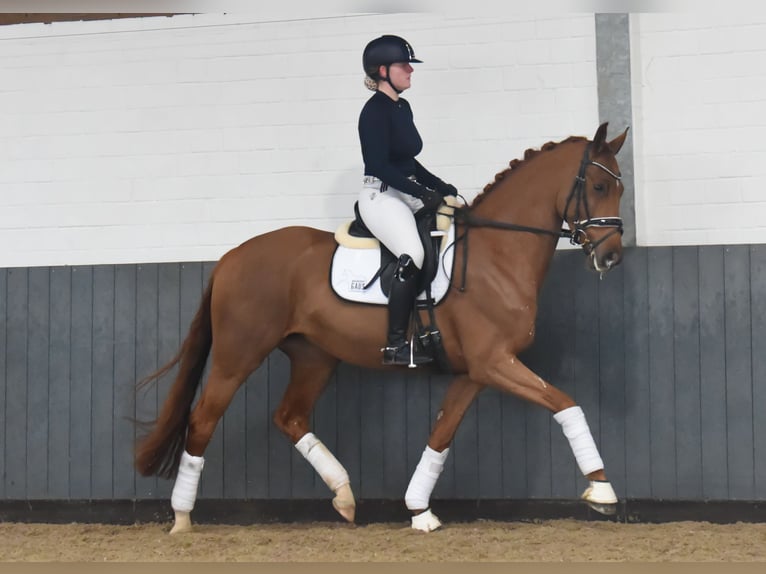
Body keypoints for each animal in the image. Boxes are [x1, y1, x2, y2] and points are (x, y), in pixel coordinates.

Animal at [136, 121, 632, 536]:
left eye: (621, 187)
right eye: (599, 185)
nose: (611, 257)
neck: (496, 254)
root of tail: (231, 257)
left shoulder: (475, 371)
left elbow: (441, 434)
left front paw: (419, 510)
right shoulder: (495, 363)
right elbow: (566, 404)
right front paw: (602, 490)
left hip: (314, 356)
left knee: (289, 417)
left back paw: (344, 496)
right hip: (238, 354)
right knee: (203, 420)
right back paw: (182, 518)